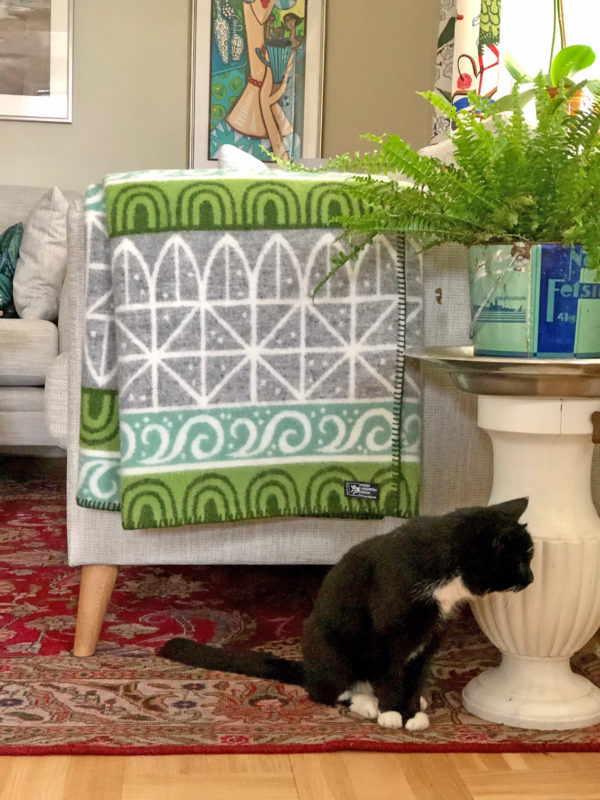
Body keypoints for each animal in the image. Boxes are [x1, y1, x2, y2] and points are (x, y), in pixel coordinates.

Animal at [159, 500, 536, 732]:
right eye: (521, 559)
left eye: (530, 556)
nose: (532, 578)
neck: (446, 574)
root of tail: (309, 668)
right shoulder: (387, 632)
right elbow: (390, 673)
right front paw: (392, 712)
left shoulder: (431, 635)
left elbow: (416, 671)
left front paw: (412, 710)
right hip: (330, 643)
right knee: (325, 690)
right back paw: (365, 702)